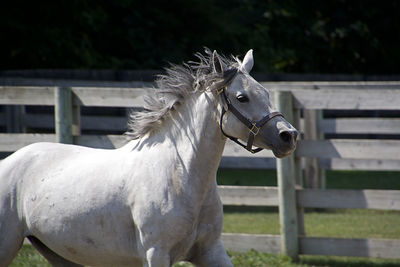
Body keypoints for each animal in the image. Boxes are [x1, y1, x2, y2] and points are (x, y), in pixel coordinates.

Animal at [0, 49, 296, 266]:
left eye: (266, 93)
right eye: (242, 97)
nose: (288, 135)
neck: (180, 175)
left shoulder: (211, 250)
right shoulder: (156, 253)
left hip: (60, 254)